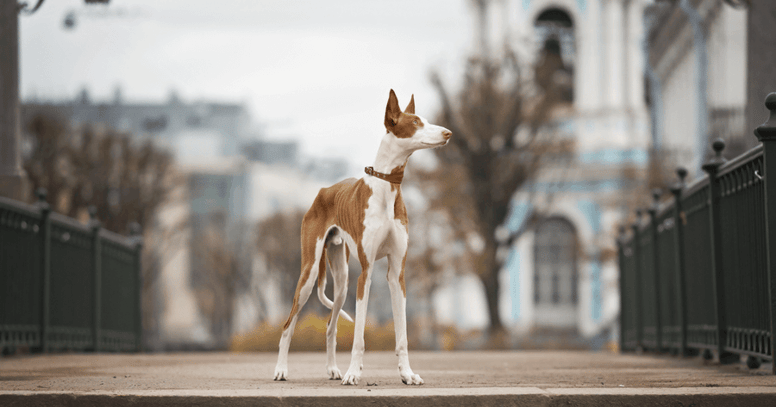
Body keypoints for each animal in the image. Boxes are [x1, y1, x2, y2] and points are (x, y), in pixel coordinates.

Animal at [274, 89, 452, 386]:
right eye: (416, 122)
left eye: (425, 120)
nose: (448, 133)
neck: (386, 186)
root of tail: (324, 191)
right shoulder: (365, 274)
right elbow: (358, 336)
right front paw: (353, 373)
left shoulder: (396, 274)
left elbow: (402, 336)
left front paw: (407, 374)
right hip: (309, 275)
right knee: (288, 325)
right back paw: (281, 370)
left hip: (342, 279)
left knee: (330, 326)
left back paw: (332, 369)